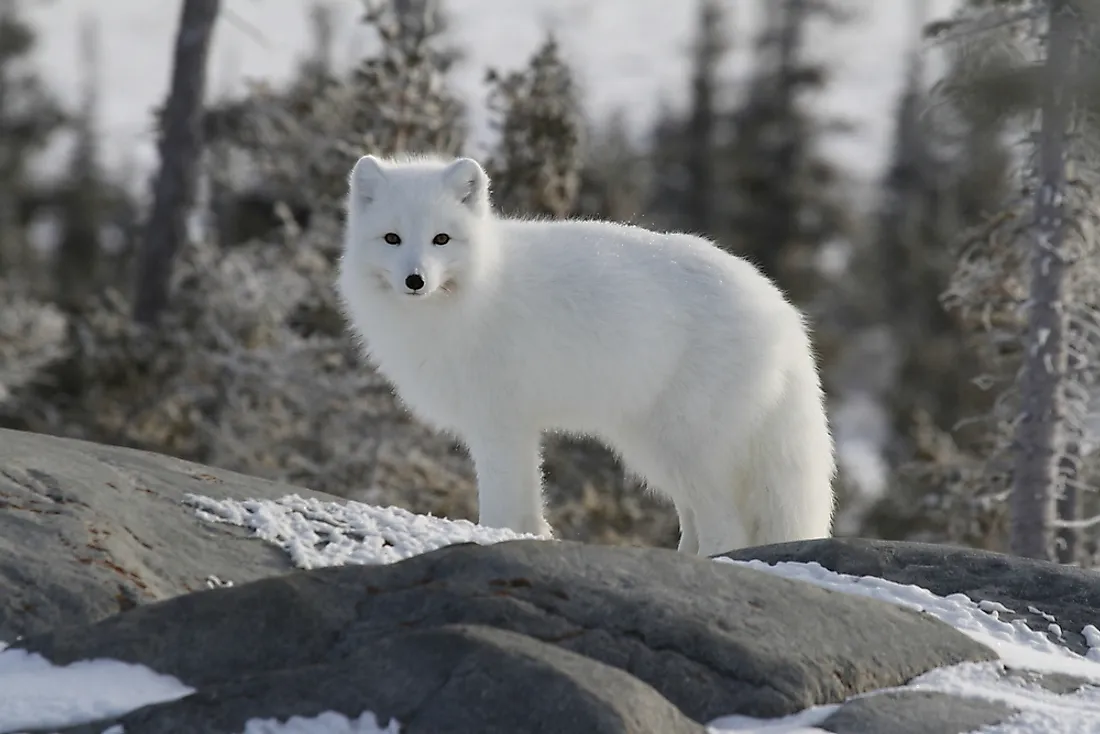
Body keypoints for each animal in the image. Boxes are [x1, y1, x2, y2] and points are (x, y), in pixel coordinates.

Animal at [334, 155, 831, 556]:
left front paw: (496, 537)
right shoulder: (507, 425)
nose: (415, 280)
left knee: (728, 527)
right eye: (392, 238)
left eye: (441, 239)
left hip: (688, 442)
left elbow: (502, 502)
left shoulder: (500, 422)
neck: (477, 291)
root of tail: (781, 308)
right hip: (656, 447)